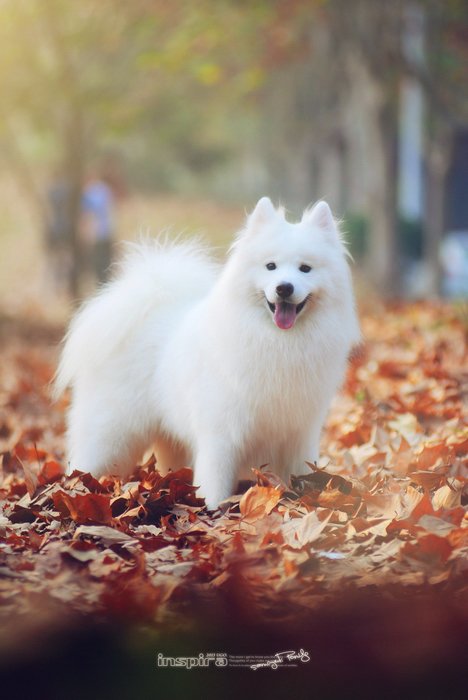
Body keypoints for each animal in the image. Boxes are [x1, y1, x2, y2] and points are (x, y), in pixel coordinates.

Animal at [55, 197, 362, 508]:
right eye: (271, 266)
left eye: (305, 269)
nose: (284, 288)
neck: (277, 341)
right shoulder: (222, 429)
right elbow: (216, 475)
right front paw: (213, 507)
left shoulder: (300, 430)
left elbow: (303, 470)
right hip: (111, 430)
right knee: (87, 458)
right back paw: (75, 491)